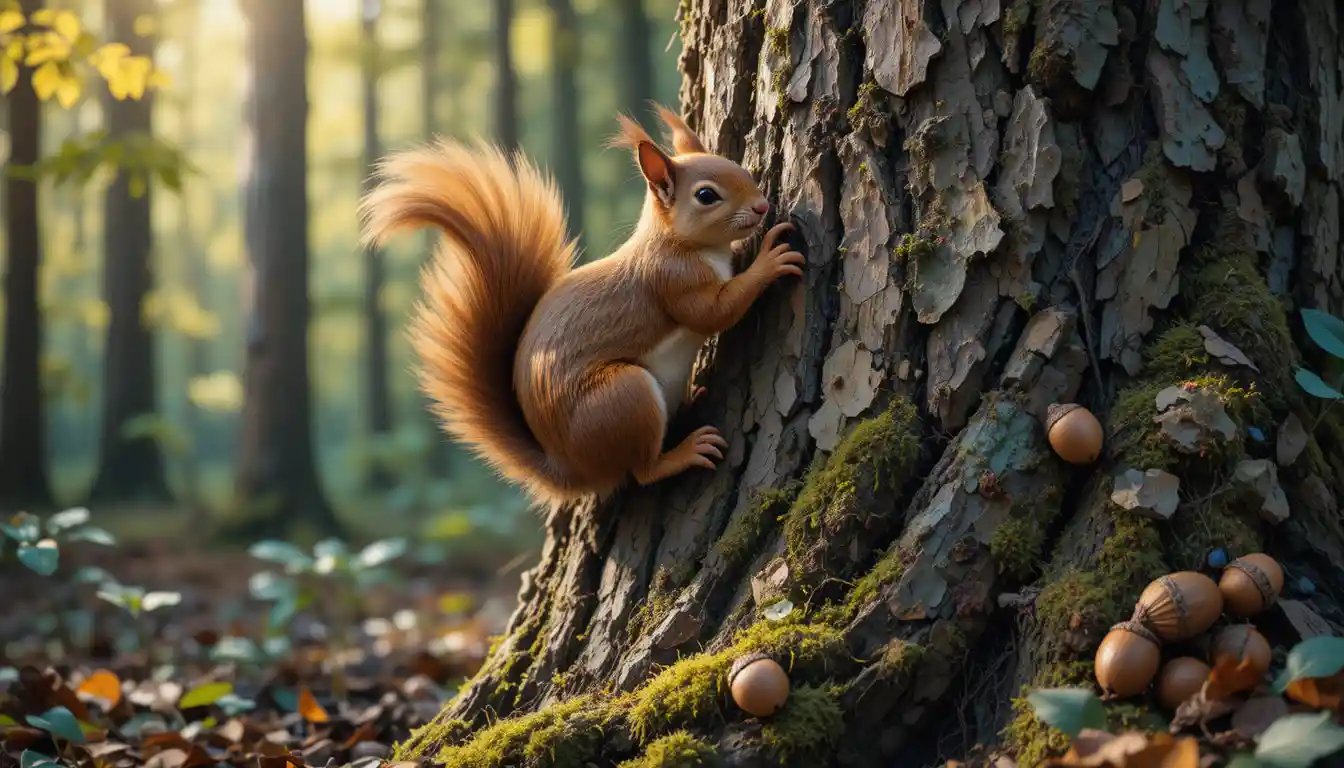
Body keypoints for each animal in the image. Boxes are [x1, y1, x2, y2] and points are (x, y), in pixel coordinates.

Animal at [357, 103, 804, 507]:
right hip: (621, 400)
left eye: (742, 170)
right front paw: (768, 261)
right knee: (641, 472)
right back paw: (683, 452)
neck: (675, 241)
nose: (763, 206)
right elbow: (714, 312)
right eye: (706, 195)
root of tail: (573, 469)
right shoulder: (672, 280)